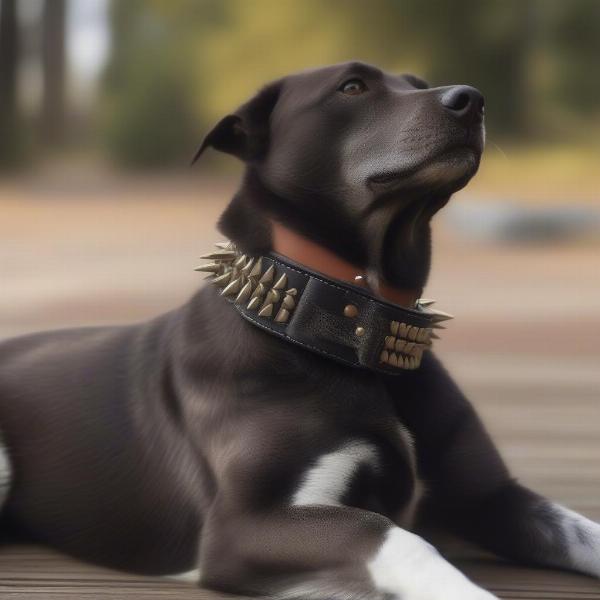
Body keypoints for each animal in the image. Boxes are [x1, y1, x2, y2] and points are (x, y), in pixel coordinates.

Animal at [1, 62, 600, 600]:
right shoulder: (245, 528)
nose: (471, 100)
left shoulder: (491, 496)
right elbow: (396, 537)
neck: (357, 333)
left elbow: (582, 531)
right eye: (352, 87)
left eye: (421, 84)